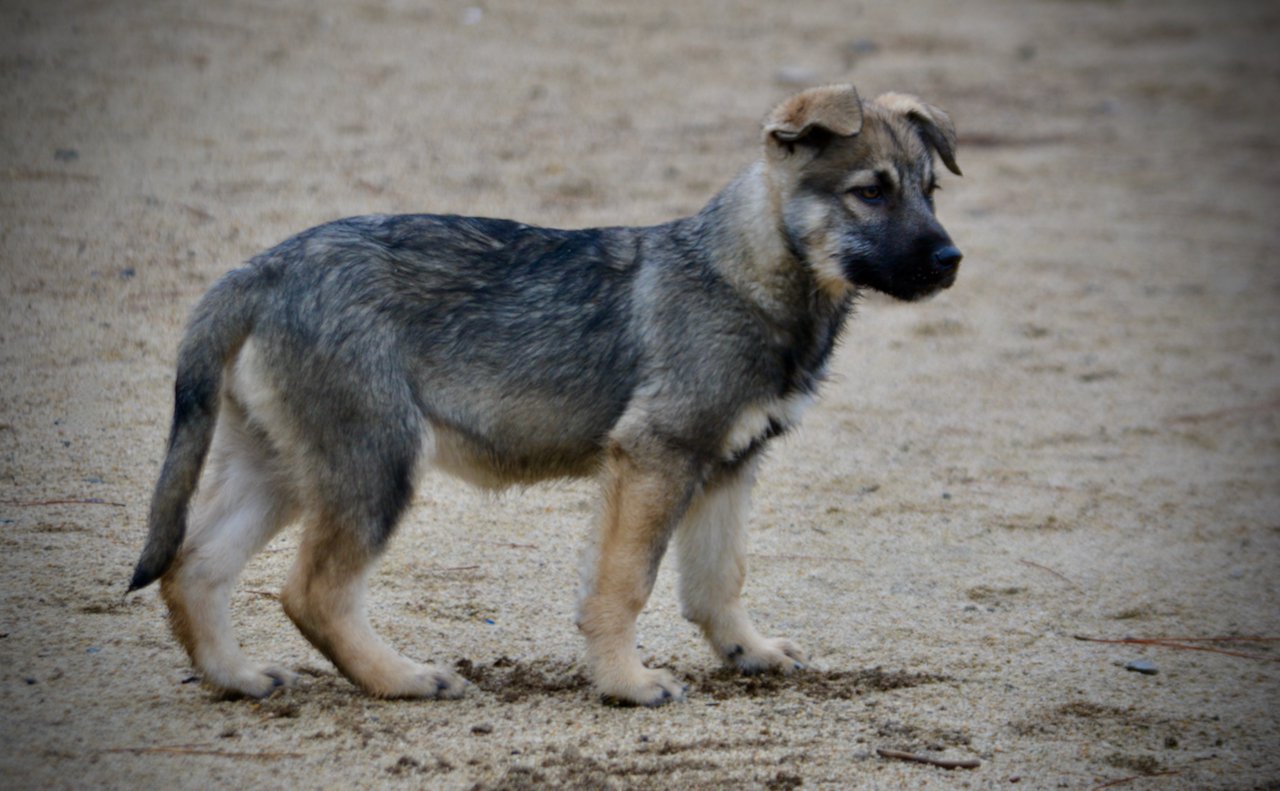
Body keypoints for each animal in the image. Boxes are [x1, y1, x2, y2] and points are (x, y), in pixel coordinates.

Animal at [127, 84, 962, 701]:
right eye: (870, 192)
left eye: (928, 191)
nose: (951, 259)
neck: (749, 274)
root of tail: (261, 269)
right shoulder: (655, 459)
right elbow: (625, 584)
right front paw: (626, 683)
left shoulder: (727, 466)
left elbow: (715, 581)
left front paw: (745, 650)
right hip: (374, 464)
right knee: (313, 592)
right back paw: (403, 679)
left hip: (282, 467)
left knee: (194, 566)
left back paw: (236, 676)